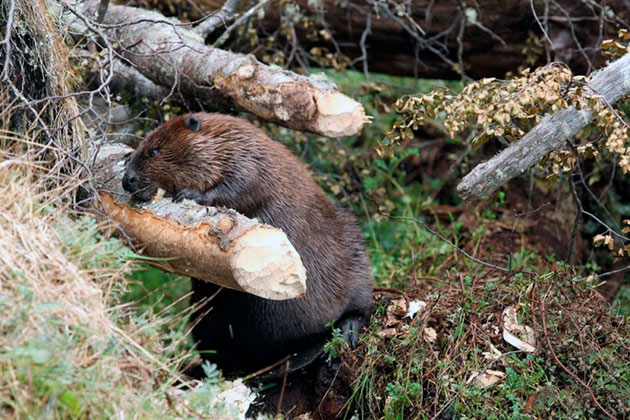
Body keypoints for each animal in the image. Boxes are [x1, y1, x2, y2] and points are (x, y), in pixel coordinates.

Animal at [121, 111, 372, 374]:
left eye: (154, 151)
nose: (128, 180)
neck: (227, 140)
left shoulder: (249, 160)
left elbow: (241, 186)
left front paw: (189, 194)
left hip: (352, 247)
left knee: (361, 306)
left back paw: (347, 332)